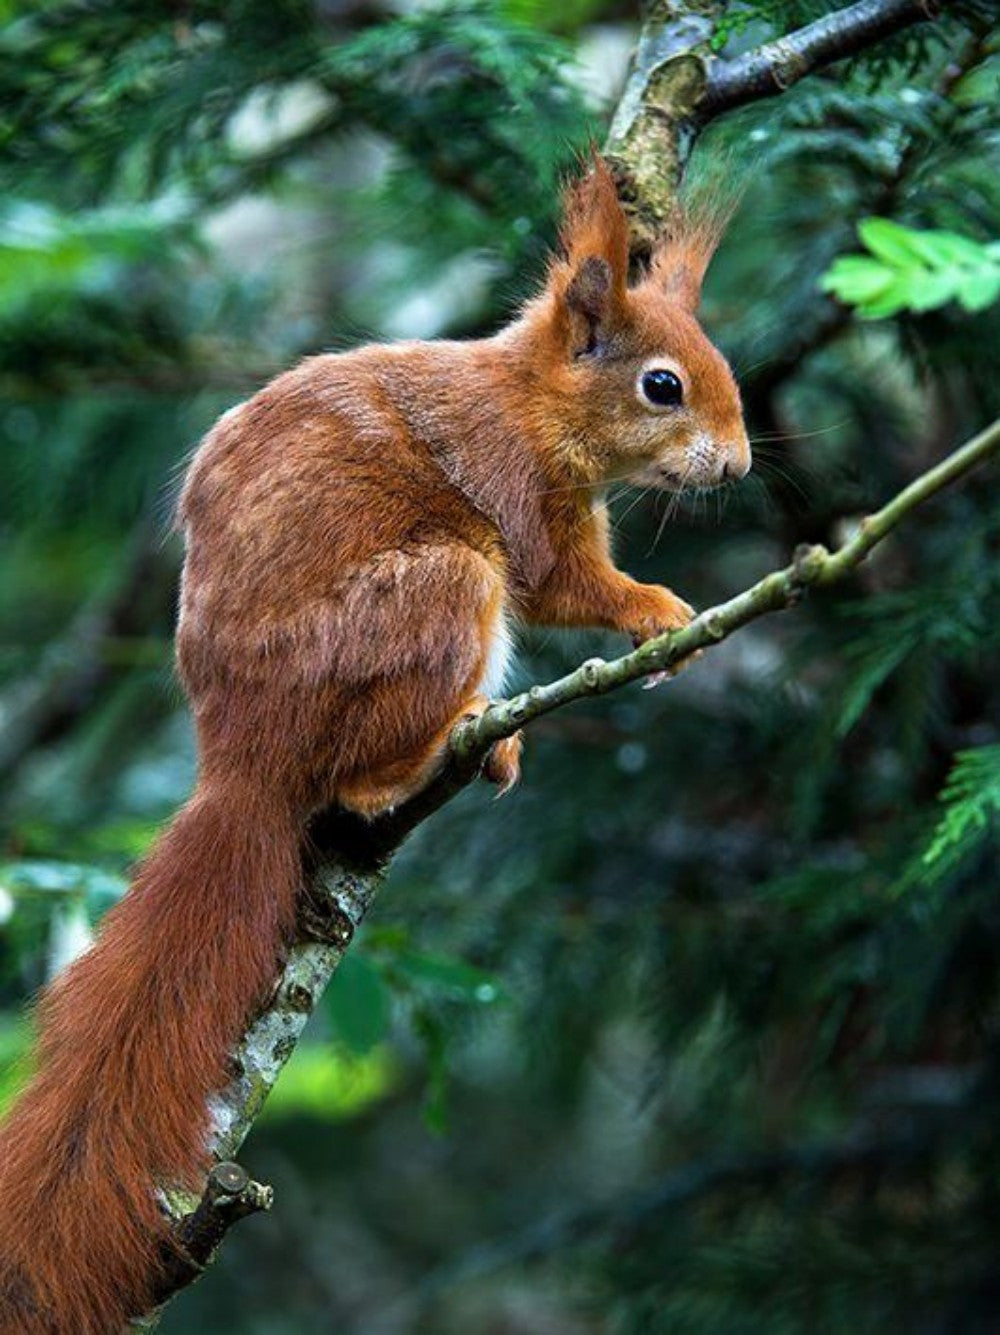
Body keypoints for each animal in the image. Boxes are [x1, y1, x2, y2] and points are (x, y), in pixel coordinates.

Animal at [0, 158, 749, 1332]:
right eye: (662, 387)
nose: (743, 464)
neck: (531, 400)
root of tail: (243, 764)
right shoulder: (522, 497)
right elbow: (565, 584)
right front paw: (660, 612)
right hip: (437, 593)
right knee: (356, 776)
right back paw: (430, 754)